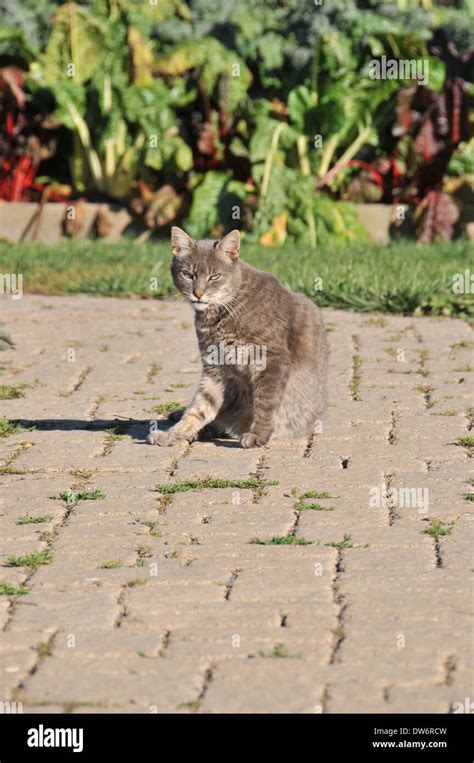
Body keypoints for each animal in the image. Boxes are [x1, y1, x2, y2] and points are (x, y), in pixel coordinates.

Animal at [146, 227, 328, 448]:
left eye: (215, 276)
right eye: (188, 274)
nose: (198, 293)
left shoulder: (271, 359)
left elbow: (266, 403)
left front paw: (258, 435)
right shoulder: (215, 369)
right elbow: (199, 408)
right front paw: (173, 434)